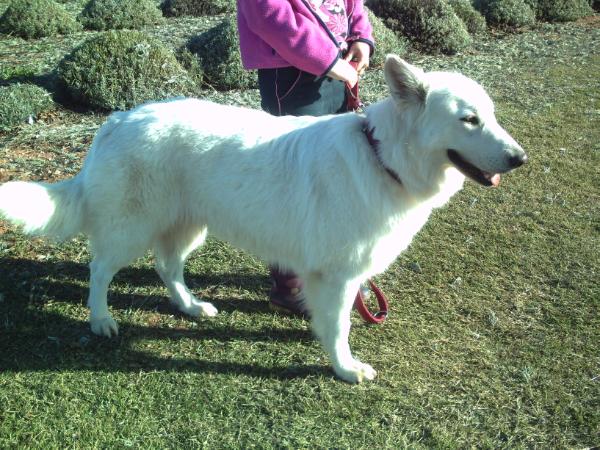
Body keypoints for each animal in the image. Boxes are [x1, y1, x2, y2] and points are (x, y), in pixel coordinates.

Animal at [0, 57, 524, 384]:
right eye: (469, 120)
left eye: (491, 115)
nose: (520, 158)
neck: (383, 157)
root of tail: (119, 118)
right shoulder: (337, 277)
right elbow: (339, 328)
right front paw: (344, 368)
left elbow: (332, 321)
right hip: (131, 229)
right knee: (100, 270)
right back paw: (101, 319)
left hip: (188, 227)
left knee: (167, 267)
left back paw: (190, 306)